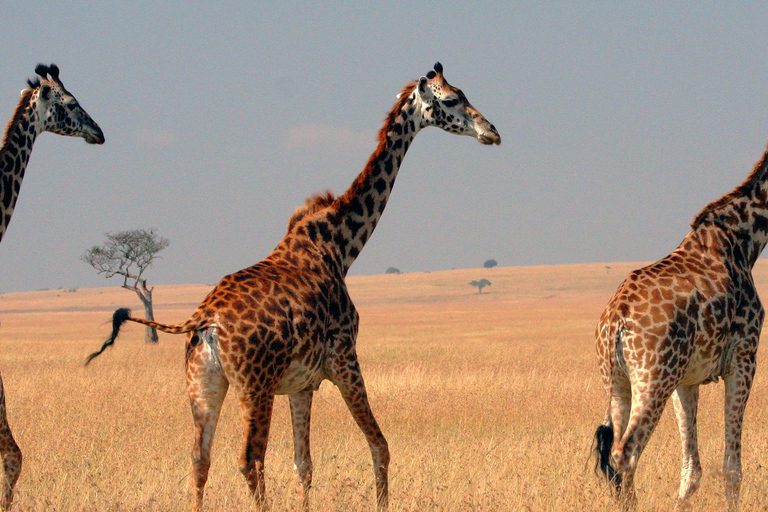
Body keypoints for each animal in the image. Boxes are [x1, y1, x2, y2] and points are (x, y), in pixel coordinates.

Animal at [85, 62, 504, 510]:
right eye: (451, 100)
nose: (492, 131)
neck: (339, 245)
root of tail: (203, 321)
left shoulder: (303, 383)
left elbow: (304, 464)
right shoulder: (344, 359)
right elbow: (380, 446)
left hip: (203, 384)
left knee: (200, 457)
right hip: (255, 386)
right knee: (250, 459)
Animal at [592, 142, 768, 510]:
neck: (745, 240)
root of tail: (615, 321)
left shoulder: (686, 379)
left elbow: (692, 470)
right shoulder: (744, 358)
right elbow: (732, 469)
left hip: (618, 381)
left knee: (614, 453)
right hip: (653, 378)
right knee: (625, 452)